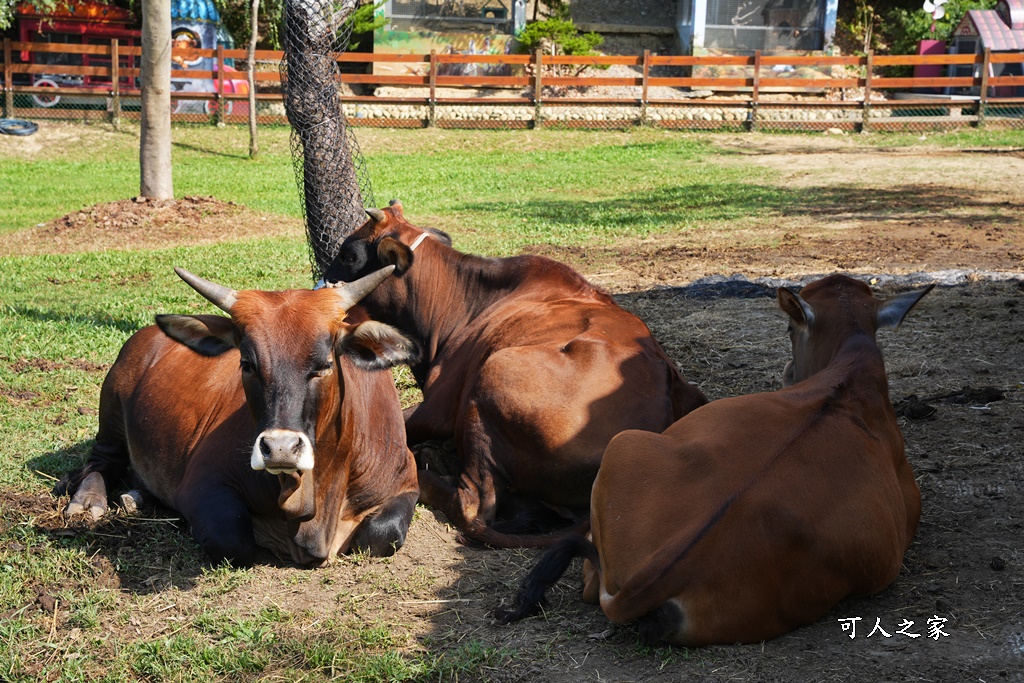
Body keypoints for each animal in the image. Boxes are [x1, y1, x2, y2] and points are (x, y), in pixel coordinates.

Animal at [64, 266, 419, 565]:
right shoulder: (203, 483)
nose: (280, 449)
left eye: (325, 364)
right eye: (246, 364)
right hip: (111, 409)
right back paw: (88, 499)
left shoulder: (406, 480)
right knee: (101, 459)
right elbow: (233, 540)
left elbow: (382, 535)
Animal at [323, 200, 708, 548]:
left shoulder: (439, 407)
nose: (321, 291)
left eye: (349, 255)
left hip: (492, 375)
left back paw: (426, 464)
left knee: (472, 508)